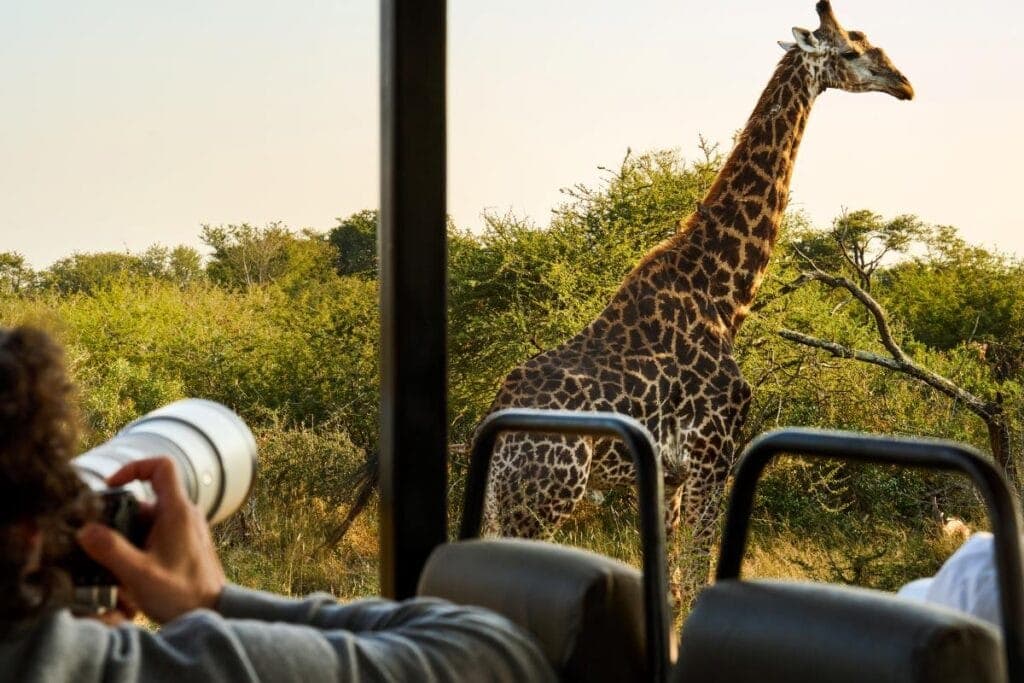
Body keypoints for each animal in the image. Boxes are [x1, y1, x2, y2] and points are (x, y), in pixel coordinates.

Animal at [475, 2, 917, 585]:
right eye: (851, 51)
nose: (904, 84)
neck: (724, 294)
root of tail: (495, 437)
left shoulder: (673, 472)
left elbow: (672, 576)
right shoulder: (714, 450)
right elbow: (695, 572)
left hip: (511, 500)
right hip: (544, 496)